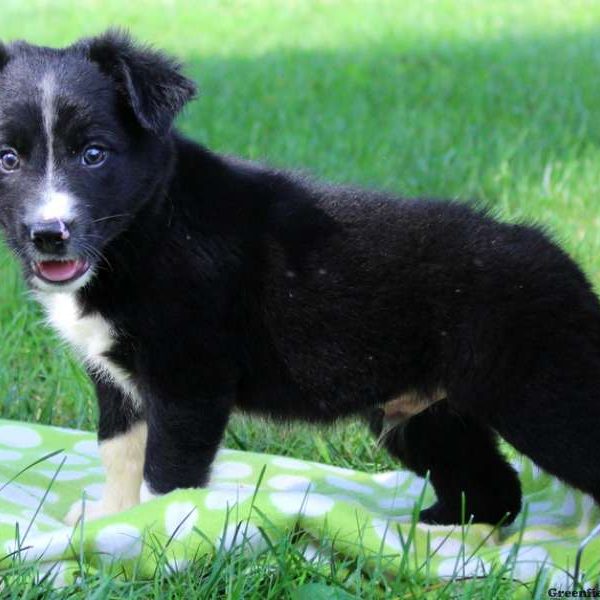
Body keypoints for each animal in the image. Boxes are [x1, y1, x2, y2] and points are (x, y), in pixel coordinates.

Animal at [1, 30, 600, 524]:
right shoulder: (116, 379)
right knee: (494, 488)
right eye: (7, 158)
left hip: (544, 394)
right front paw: (110, 522)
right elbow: (119, 453)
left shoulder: (190, 379)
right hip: (424, 416)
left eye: (93, 154)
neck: (142, 230)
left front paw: (152, 539)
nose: (49, 234)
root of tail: (567, 264)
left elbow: (166, 476)